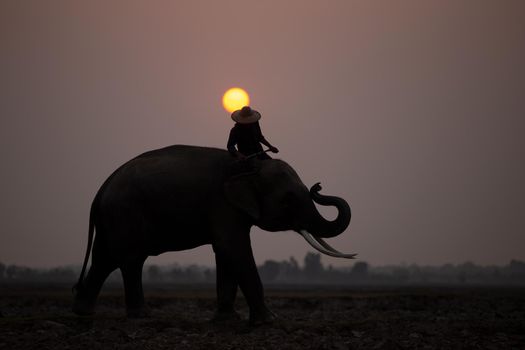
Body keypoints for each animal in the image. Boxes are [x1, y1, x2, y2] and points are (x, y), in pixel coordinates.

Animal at [71, 144, 354, 324]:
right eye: (288, 200)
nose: (318, 186)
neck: (248, 165)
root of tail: (102, 188)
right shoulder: (223, 205)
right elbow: (234, 248)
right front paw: (269, 321)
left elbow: (226, 252)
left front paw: (228, 320)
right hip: (124, 213)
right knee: (130, 260)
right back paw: (141, 316)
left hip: (112, 218)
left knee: (104, 260)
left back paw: (83, 313)